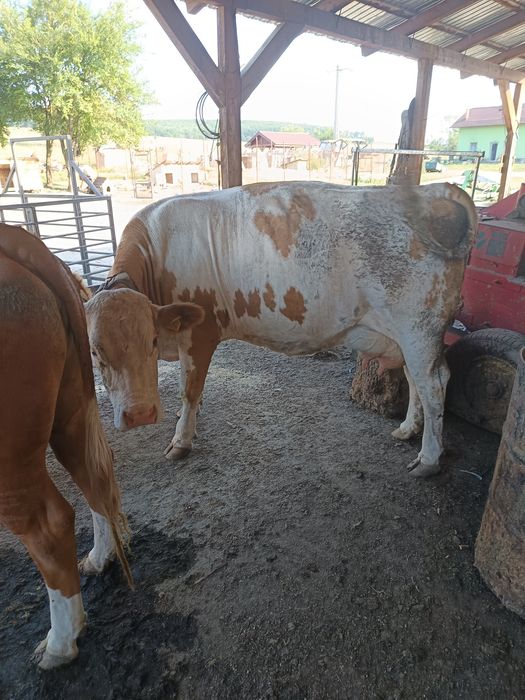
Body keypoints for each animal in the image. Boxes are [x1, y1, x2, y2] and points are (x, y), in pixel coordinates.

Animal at [0, 223, 131, 670]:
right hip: (71, 409)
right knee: (95, 480)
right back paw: (100, 557)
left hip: (11, 457)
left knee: (48, 525)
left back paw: (60, 641)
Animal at [85, 182, 477, 478]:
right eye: (94, 352)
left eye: (151, 341)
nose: (139, 416)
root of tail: (429, 191)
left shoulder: (202, 333)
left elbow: (189, 390)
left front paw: (181, 441)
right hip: (405, 336)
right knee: (417, 380)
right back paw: (408, 429)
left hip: (419, 329)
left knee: (434, 385)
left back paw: (428, 460)